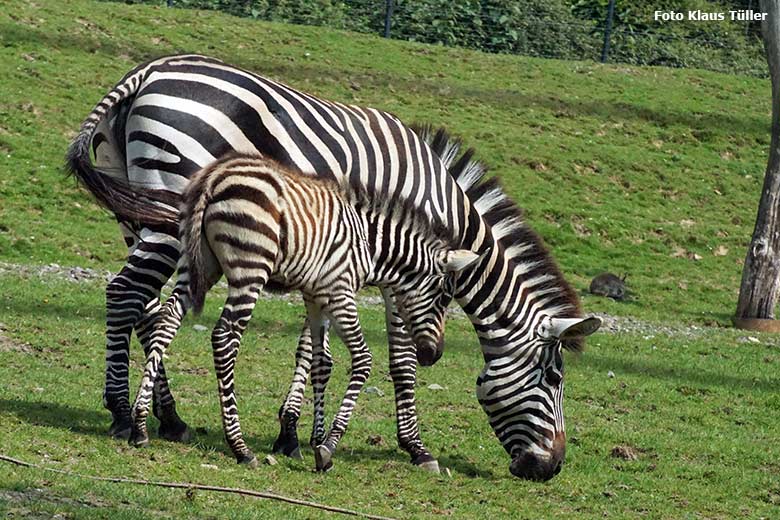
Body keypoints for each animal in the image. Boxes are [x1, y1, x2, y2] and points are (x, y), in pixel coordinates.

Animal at [131, 152, 478, 470]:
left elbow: (321, 362)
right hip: (250, 268)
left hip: (198, 263)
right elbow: (362, 359)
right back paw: (239, 447)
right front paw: (328, 446)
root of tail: (215, 175)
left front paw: (313, 440)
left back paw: (140, 423)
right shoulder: (340, 291)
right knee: (224, 337)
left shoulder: (315, 296)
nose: (434, 355)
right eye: (445, 297)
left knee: (167, 320)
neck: (369, 245)